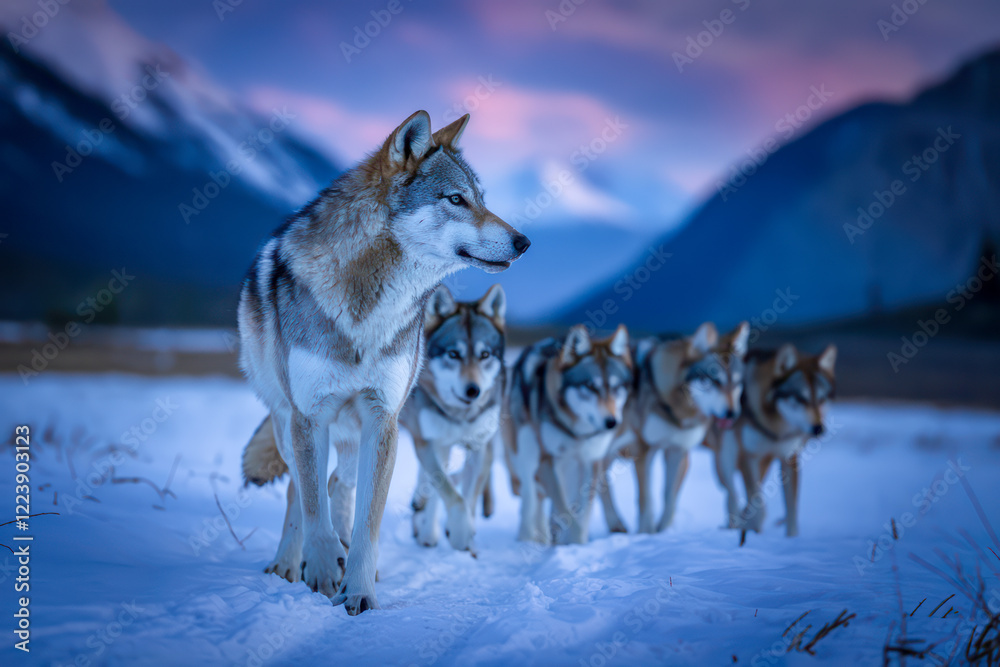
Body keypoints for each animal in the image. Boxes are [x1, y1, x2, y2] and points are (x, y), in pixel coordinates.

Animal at [399, 283, 506, 554]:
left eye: (485, 355)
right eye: (454, 354)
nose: (473, 391)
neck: (461, 416)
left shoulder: (481, 448)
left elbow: (468, 497)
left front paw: (466, 533)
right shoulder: (430, 444)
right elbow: (450, 494)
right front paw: (457, 533)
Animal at [503, 324, 632, 545]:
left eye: (616, 388)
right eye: (591, 386)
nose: (612, 422)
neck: (575, 430)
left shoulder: (591, 461)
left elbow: (581, 513)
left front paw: (577, 545)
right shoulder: (546, 460)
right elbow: (567, 512)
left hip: (569, 468)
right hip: (528, 457)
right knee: (531, 500)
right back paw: (530, 538)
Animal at [598, 322, 749, 534]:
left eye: (736, 383)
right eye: (715, 380)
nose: (731, 414)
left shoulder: (678, 450)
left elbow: (669, 498)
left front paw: (662, 532)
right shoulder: (645, 450)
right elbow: (646, 499)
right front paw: (646, 533)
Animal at [706, 343, 836, 537]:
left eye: (821, 399)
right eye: (800, 398)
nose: (819, 429)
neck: (776, 428)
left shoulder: (789, 458)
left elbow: (791, 509)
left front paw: (791, 539)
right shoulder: (749, 457)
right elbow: (758, 505)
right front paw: (753, 533)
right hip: (726, 459)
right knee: (732, 496)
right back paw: (736, 527)